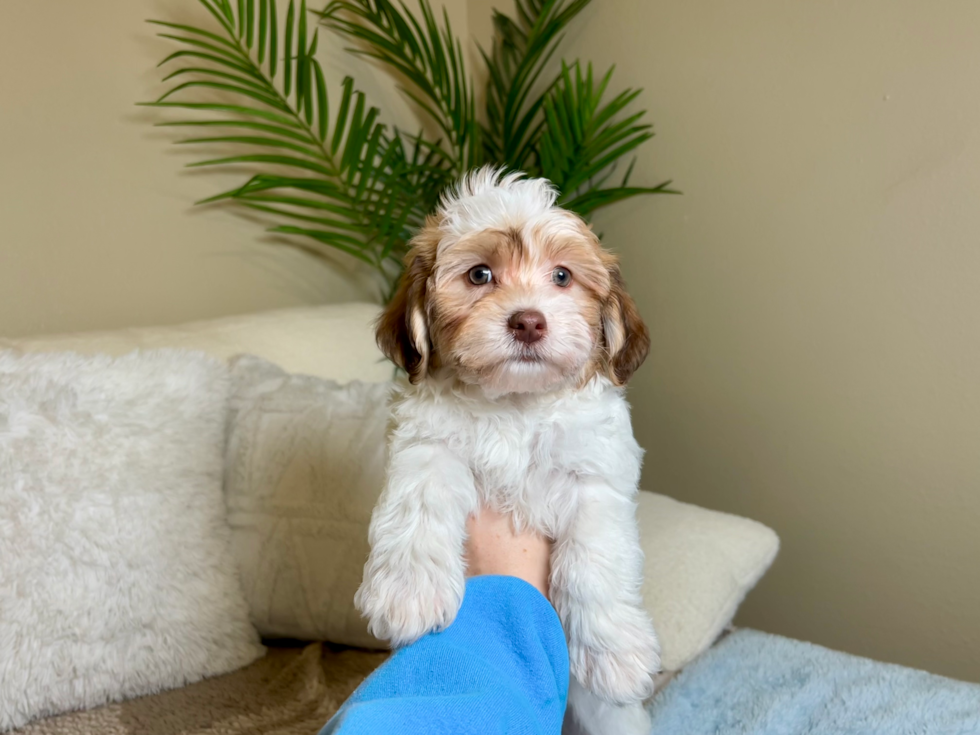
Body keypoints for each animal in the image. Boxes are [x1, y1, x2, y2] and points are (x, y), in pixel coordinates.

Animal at [356, 167, 664, 735]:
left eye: (562, 277)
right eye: (479, 275)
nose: (528, 321)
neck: (514, 405)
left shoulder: (595, 475)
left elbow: (594, 558)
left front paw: (613, 653)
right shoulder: (427, 441)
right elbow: (419, 502)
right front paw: (409, 590)